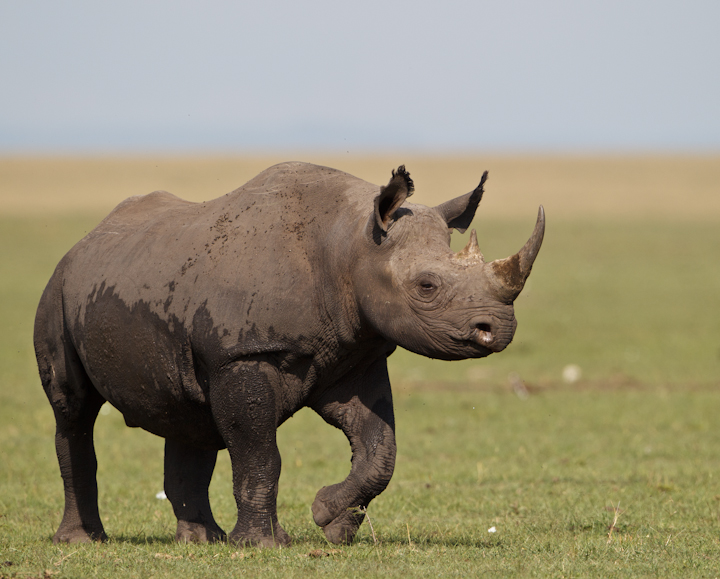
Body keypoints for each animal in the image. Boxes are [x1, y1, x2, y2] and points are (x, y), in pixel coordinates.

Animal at [34, 162, 544, 547]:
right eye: (427, 286)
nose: (498, 329)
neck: (352, 242)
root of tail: (82, 241)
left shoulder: (354, 355)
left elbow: (380, 449)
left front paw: (330, 522)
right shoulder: (243, 355)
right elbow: (261, 453)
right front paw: (262, 545)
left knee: (188, 413)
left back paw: (202, 541)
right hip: (57, 290)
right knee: (73, 411)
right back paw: (84, 541)